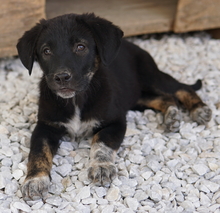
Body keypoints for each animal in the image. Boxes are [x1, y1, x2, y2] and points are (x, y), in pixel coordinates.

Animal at [16, 12, 212, 200]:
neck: (77, 99)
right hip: (136, 97)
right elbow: (38, 153)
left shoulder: (115, 121)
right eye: (46, 51)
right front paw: (35, 181)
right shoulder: (45, 127)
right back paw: (172, 116)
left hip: (151, 77)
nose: (62, 77)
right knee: (165, 98)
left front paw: (101, 167)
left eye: (80, 47)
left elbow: (102, 142)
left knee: (180, 88)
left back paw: (199, 109)